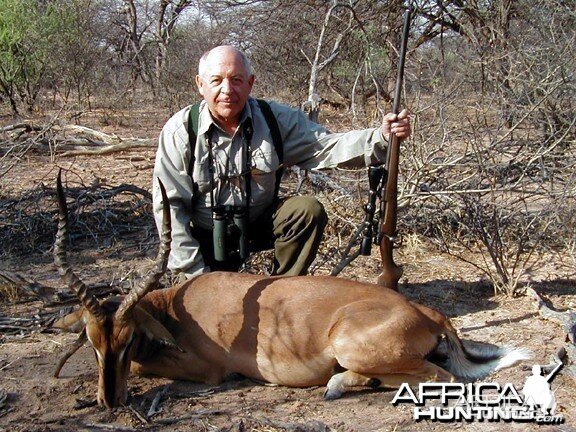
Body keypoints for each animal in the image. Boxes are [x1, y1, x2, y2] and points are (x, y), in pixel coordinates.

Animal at [51, 173, 528, 408]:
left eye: (129, 338)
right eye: (92, 341)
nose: (108, 402)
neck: (177, 307)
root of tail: (429, 313)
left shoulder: (207, 369)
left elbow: (144, 367)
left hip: (357, 347)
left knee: (441, 378)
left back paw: (337, 387)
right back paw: (337, 386)